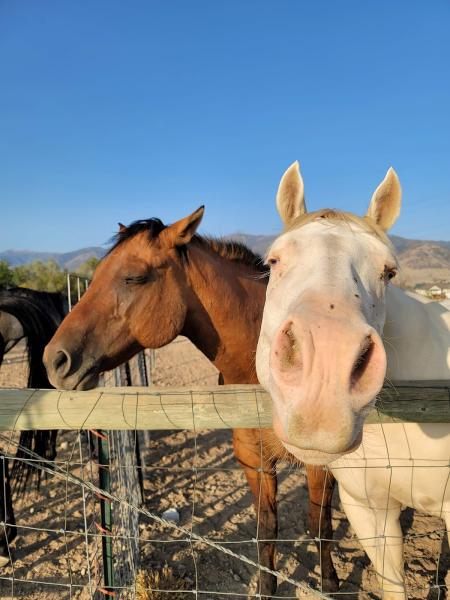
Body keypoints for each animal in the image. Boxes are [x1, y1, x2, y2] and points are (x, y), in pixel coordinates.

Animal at [44, 207, 338, 596]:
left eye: (134, 277)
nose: (55, 360)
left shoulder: (321, 465)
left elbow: (320, 527)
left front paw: (330, 583)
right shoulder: (254, 461)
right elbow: (267, 530)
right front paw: (266, 587)